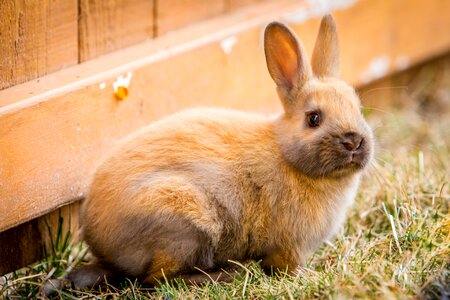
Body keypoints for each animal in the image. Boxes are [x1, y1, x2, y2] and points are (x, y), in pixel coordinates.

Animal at [68, 13, 374, 288]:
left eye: (358, 108)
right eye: (313, 119)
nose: (354, 142)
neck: (287, 155)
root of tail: (98, 239)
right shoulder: (290, 246)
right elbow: (286, 265)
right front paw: (303, 275)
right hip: (184, 226)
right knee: (157, 279)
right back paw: (226, 274)